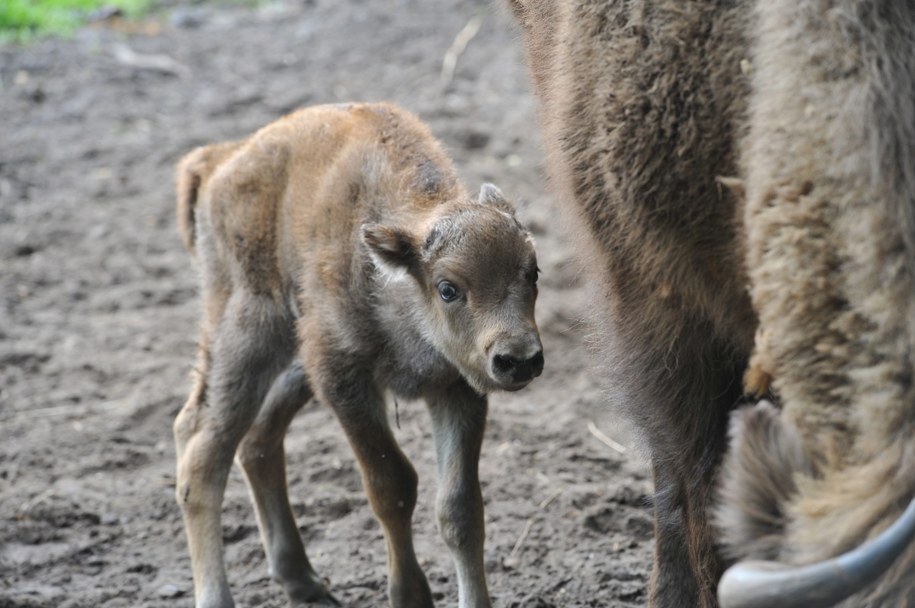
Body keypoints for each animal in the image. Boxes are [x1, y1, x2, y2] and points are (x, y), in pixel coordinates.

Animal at [173, 102, 544, 604]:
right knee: (201, 449)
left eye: (533, 272)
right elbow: (393, 487)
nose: (519, 359)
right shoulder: (344, 379)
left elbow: (460, 509)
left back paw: (302, 579)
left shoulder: (455, 388)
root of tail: (219, 162)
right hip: (249, 333)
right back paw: (219, 594)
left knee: (256, 440)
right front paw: (410, 596)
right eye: (448, 287)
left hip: (295, 363)